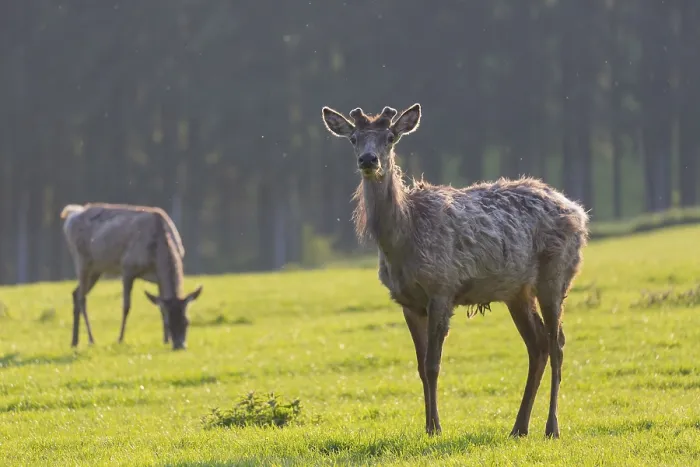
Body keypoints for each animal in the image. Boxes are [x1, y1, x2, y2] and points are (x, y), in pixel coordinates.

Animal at [60, 203, 203, 351]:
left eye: (187, 321)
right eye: (169, 324)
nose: (180, 346)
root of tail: (71, 214)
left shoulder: (158, 278)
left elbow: (161, 307)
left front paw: (165, 340)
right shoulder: (127, 267)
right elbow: (126, 307)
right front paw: (120, 339)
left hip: (96, 269)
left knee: (75, 293)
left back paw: (74, 341)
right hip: (82, 260)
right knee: (82, 298)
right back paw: (91, 340)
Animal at [321, 103, 589, 438]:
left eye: (390, 137)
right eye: (354, 138)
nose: (369, 160)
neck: (403, 240)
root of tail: (579, 213)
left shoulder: (442, 288)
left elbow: (434, 364)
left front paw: (436, 427)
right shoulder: (408, 302)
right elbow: (420, 367)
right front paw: (427, 426)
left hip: (556, 274)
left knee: (557, 343)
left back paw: (551, 427)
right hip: (517, 291)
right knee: (537, 344)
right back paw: (519, 427)